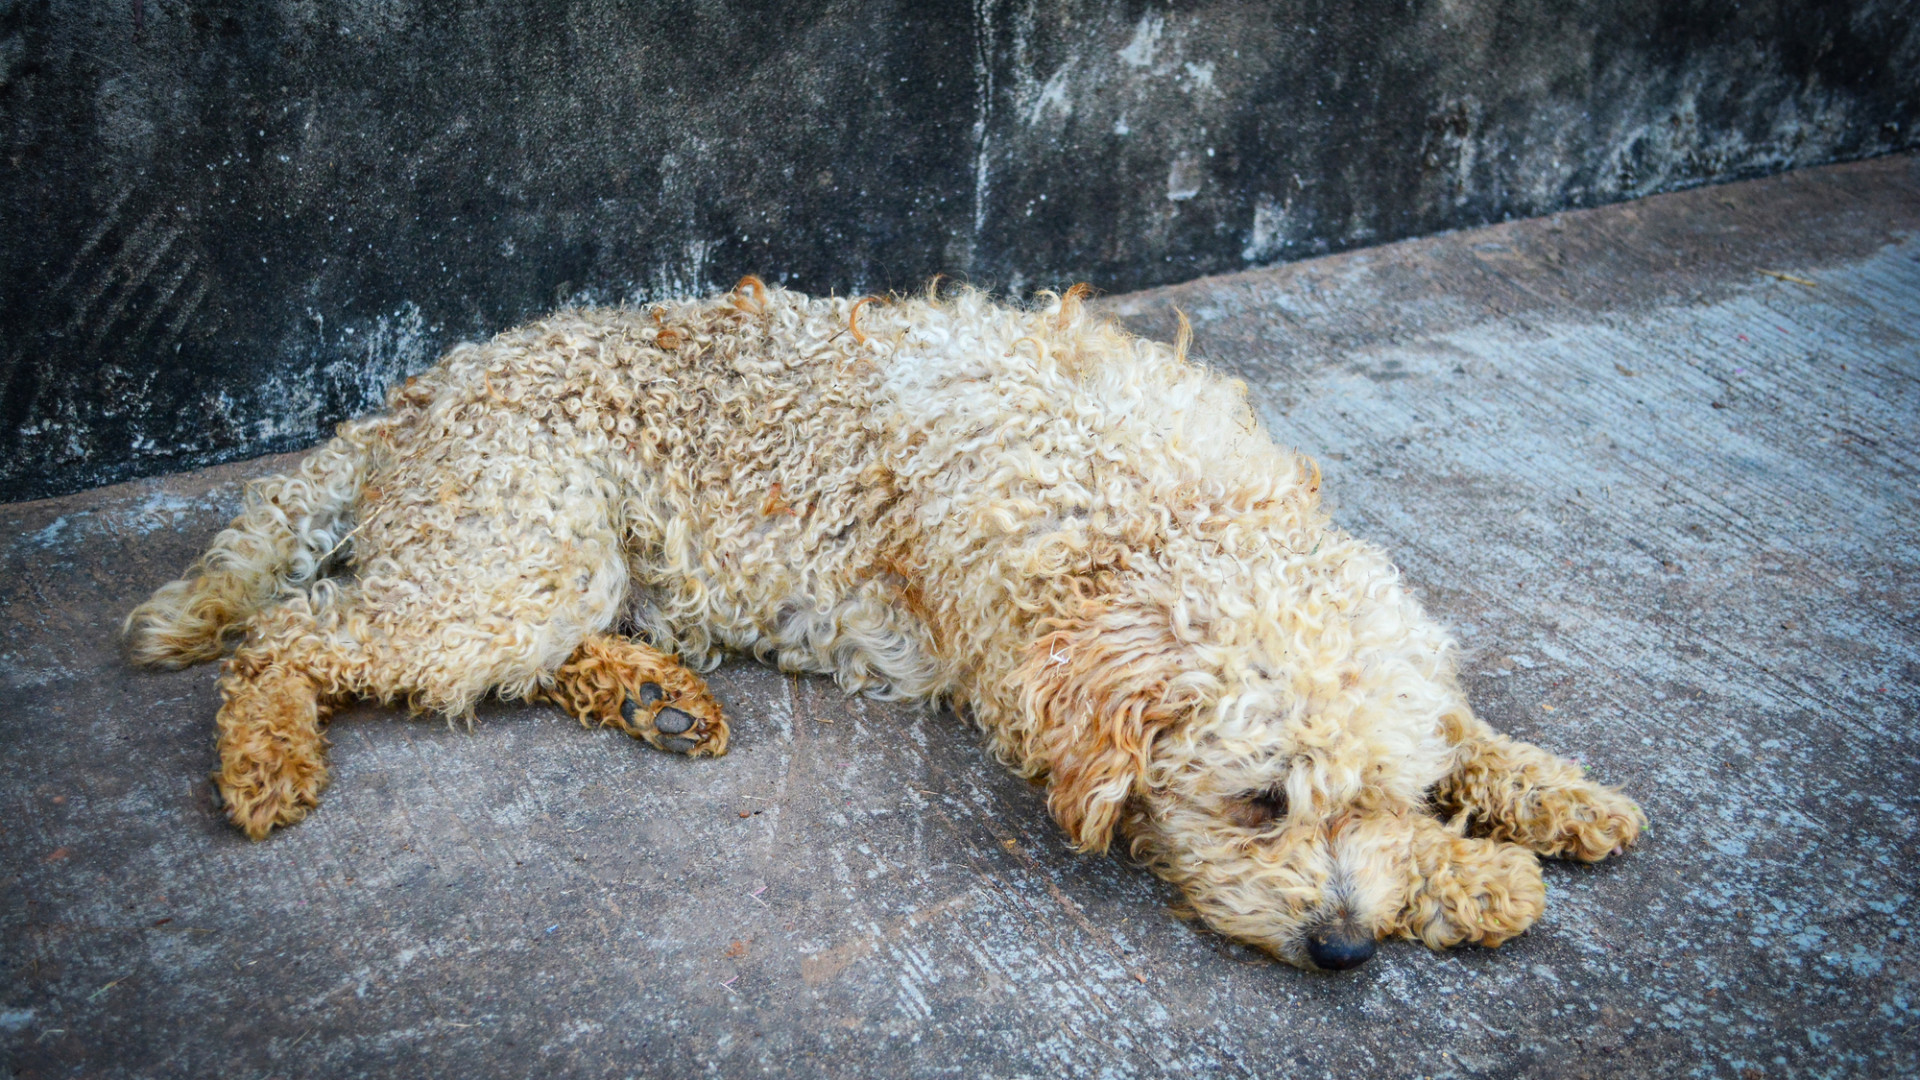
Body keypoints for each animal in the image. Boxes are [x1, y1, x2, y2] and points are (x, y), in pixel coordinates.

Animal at [127, 276, 1643, 968]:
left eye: (1377, 795)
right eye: (1261, 803)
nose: (1342, 950)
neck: (1158, 515)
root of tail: (406, 401)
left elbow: (1460, 726)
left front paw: (1542, 793)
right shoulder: (1024, 676)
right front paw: (1480, 880)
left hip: (549, 568)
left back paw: (655, 695)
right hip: (512, 562)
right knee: (296, 637)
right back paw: (268, 755)